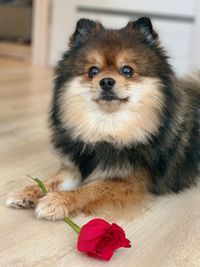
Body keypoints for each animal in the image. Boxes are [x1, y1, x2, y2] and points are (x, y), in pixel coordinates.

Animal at [6, 17, 200, 221]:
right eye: (93, 71)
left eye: (127, 70)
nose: (106, 81)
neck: (106, 130)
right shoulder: (76, 166)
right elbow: (52, 180)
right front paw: (27, 192)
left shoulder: (132, 180)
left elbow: (91, 189)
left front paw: (58, 200)